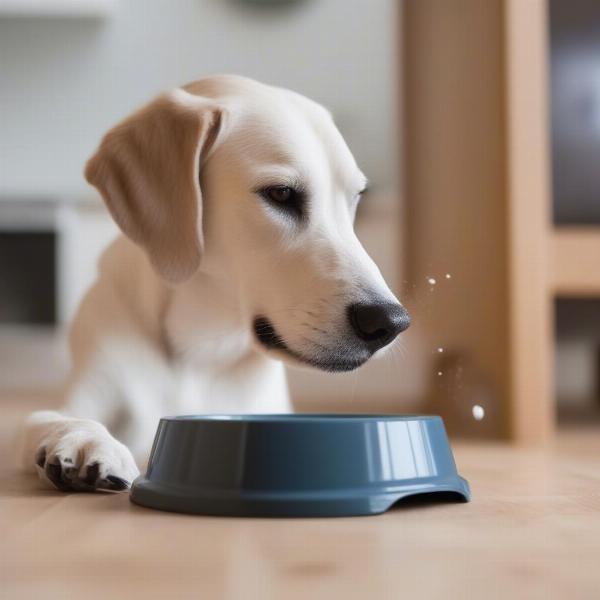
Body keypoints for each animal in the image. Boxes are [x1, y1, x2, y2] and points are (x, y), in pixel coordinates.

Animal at [19, 75, 412, 492]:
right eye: (281, 193)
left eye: (356, 198)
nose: (390, 321)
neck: (200, 348)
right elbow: (45, 417)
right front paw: (86, 439)